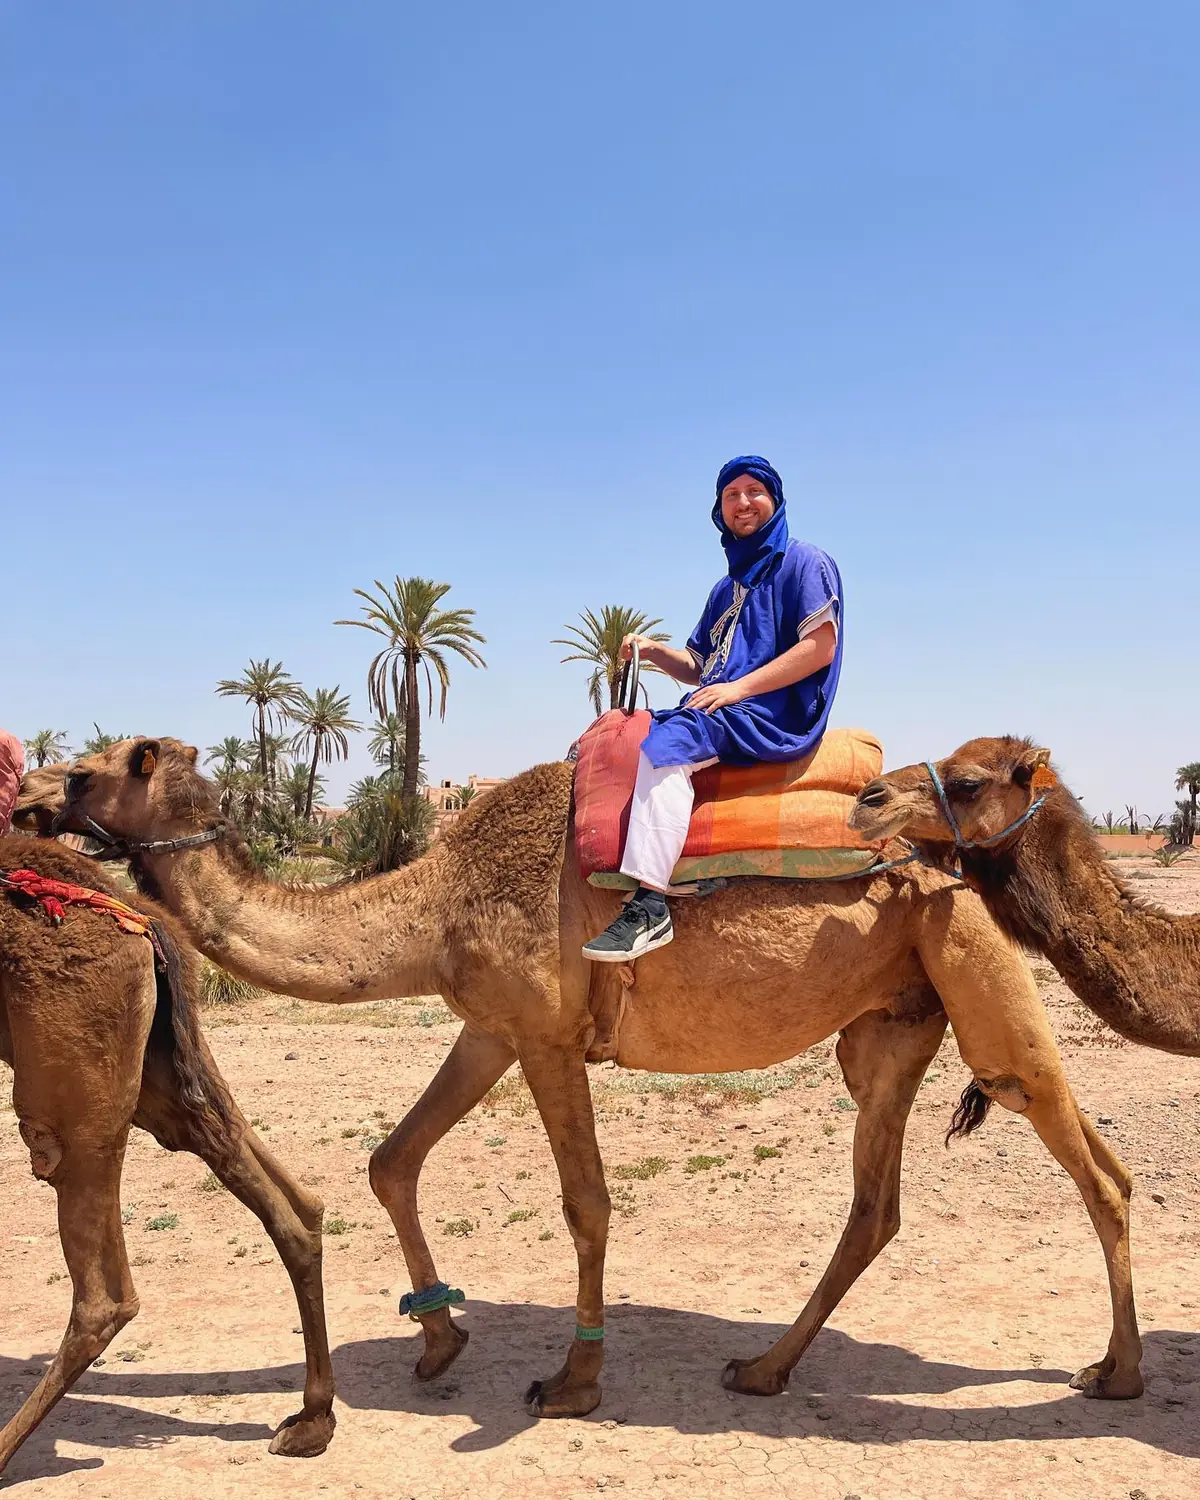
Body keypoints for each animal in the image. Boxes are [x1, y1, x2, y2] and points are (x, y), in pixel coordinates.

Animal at [0, 834, 335, 1476]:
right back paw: (312, 1421)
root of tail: (146, 925)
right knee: (281, 1192)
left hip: (70, 1089)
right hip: (159, 1069)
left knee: (103, 1296)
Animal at [21, 737, 1147, 1414]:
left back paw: (1118, 1374)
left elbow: (588, 1203)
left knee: (1095, 1169)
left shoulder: (550, 1039)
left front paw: (571, 1379)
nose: (29, 794)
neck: (435, 903)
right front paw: (438, 1342)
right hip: (892, 1024)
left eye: (92, 770)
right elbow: (392, 1160)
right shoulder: (493, 1027)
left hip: (975, 962)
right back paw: (763, 1369)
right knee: (879, 1204)